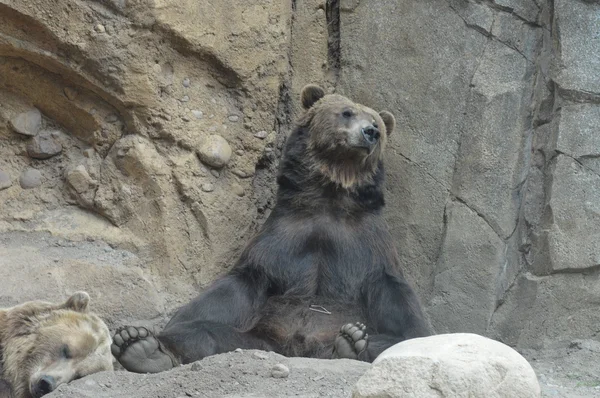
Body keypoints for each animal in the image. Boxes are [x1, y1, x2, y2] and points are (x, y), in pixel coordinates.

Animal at [111, 83, 432, 374]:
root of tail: (294, 348)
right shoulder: (283, 236)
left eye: (377, 122)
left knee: (395, 342)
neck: (330, 196)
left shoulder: (366, 246)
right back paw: (141, 347)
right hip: (256, 338)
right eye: (346, 112)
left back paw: (352, 343)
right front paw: (152, 334)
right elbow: (230, 291)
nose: (370, 132)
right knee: (204, 331)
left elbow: (406, 318)